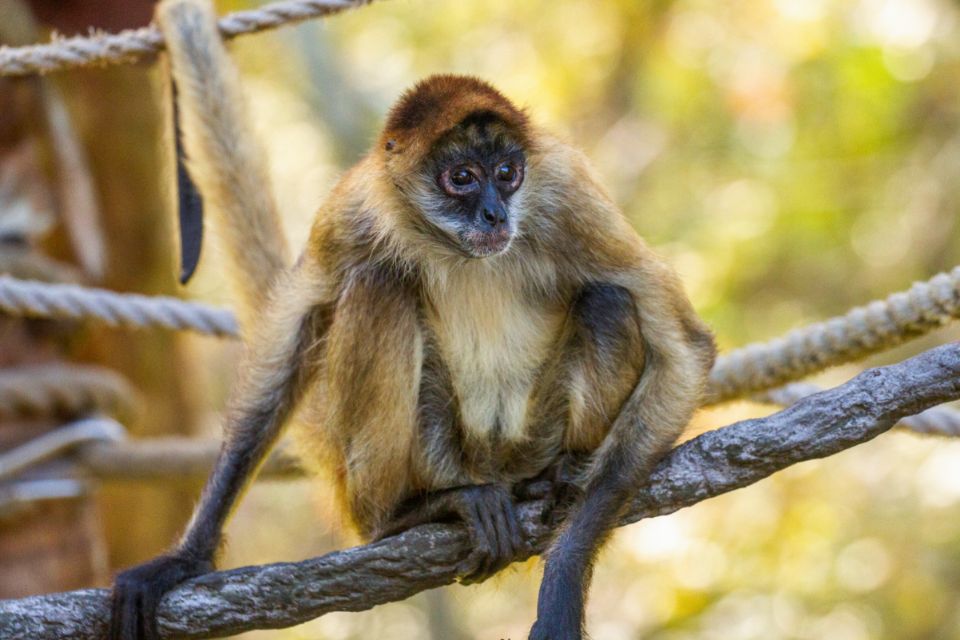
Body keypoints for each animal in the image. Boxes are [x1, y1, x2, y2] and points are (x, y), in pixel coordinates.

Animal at [111, 5, 716, 639]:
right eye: (462, 178)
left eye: (507, 171)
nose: (496, 213)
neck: (457, 249)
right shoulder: (354, 209)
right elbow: (295, 341)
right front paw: (185, 558)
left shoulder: (567, 196)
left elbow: (685, 345)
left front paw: (565, 577)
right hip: (429, 454)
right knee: (379, 286)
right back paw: (403, 515)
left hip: (529, 435)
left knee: (609, 302)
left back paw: (555, 473)